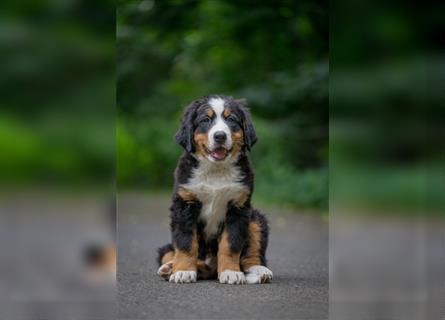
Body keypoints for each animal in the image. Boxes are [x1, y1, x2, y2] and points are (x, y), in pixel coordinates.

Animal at [158, 94, 272, 284]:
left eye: (231, 119)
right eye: (206, 120)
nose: (220, 136)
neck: (215, 171)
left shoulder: (238, 207)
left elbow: (231, 244)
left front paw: (231, 272)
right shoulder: (184, 205)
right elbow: (186, 243)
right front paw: (183, 271)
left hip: (256, 218)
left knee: (252, 254)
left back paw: (259, 271)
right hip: (168, 247)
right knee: (169, 253)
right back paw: (169, 268)